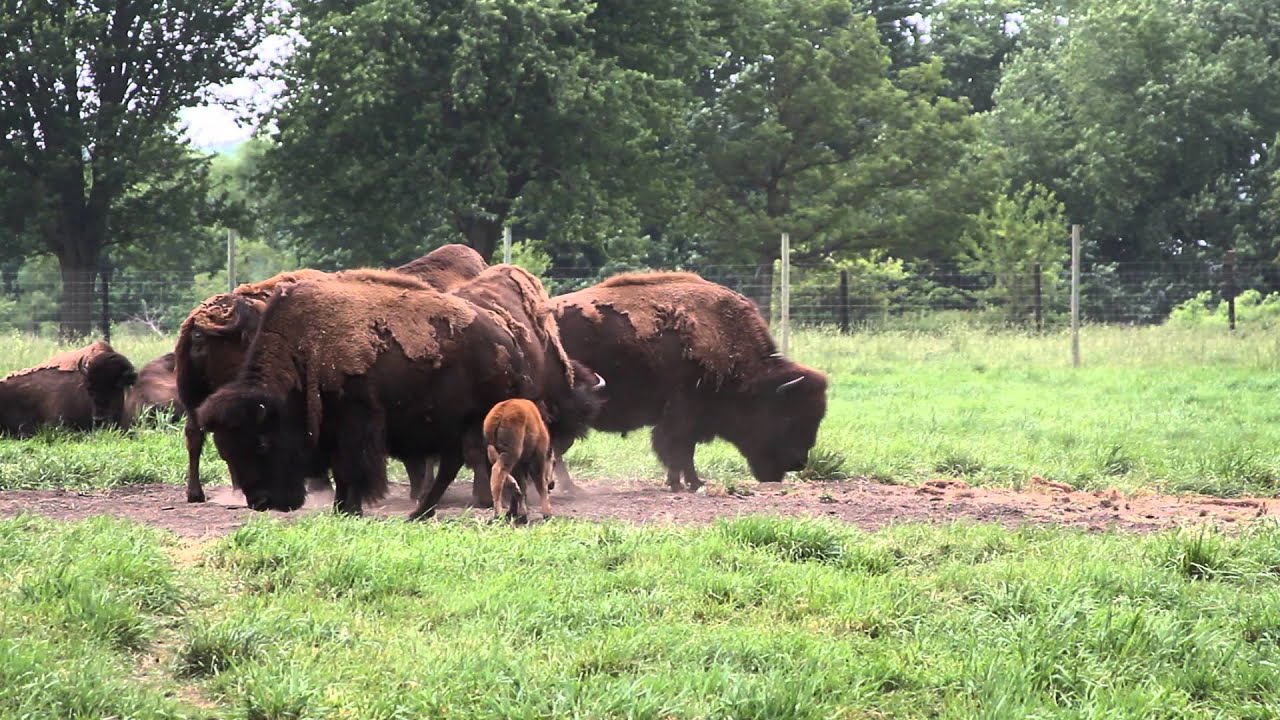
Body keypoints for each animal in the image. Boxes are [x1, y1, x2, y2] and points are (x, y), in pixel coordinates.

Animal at [552, 271, 828, 491]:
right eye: (788, 417)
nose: (799, 462)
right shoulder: (683, 415)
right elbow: (680, 451)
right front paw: (687, 484)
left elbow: (684, 452)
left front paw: (686, 482)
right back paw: (570, 488)